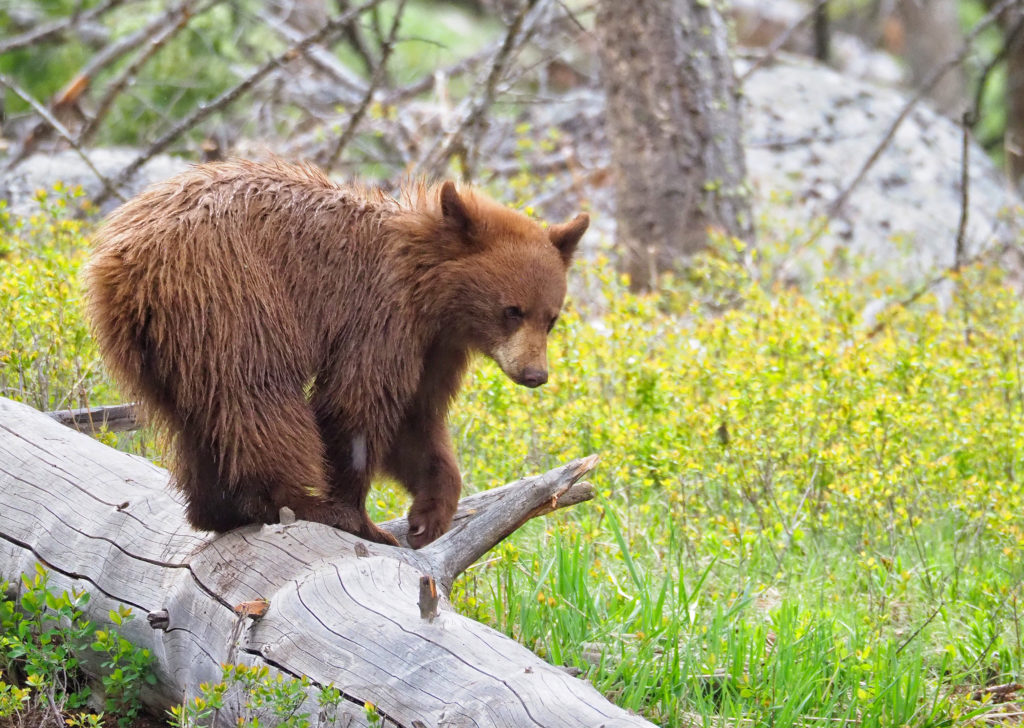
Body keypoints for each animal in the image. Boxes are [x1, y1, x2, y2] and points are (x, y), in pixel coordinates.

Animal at [86, 159, 585, 548]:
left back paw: (218, 510)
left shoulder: (434, 347)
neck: (431, 293)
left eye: (551, 317)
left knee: (193, 417)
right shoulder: (381, 317)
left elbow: (415, 420)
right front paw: (360, 517)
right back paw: (297, 503)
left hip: (157, 342)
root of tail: (126, 261)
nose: (535, 374)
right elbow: (357, 405)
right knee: (257, 396)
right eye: (512, 310)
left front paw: (428, 516)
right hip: (231, 296)